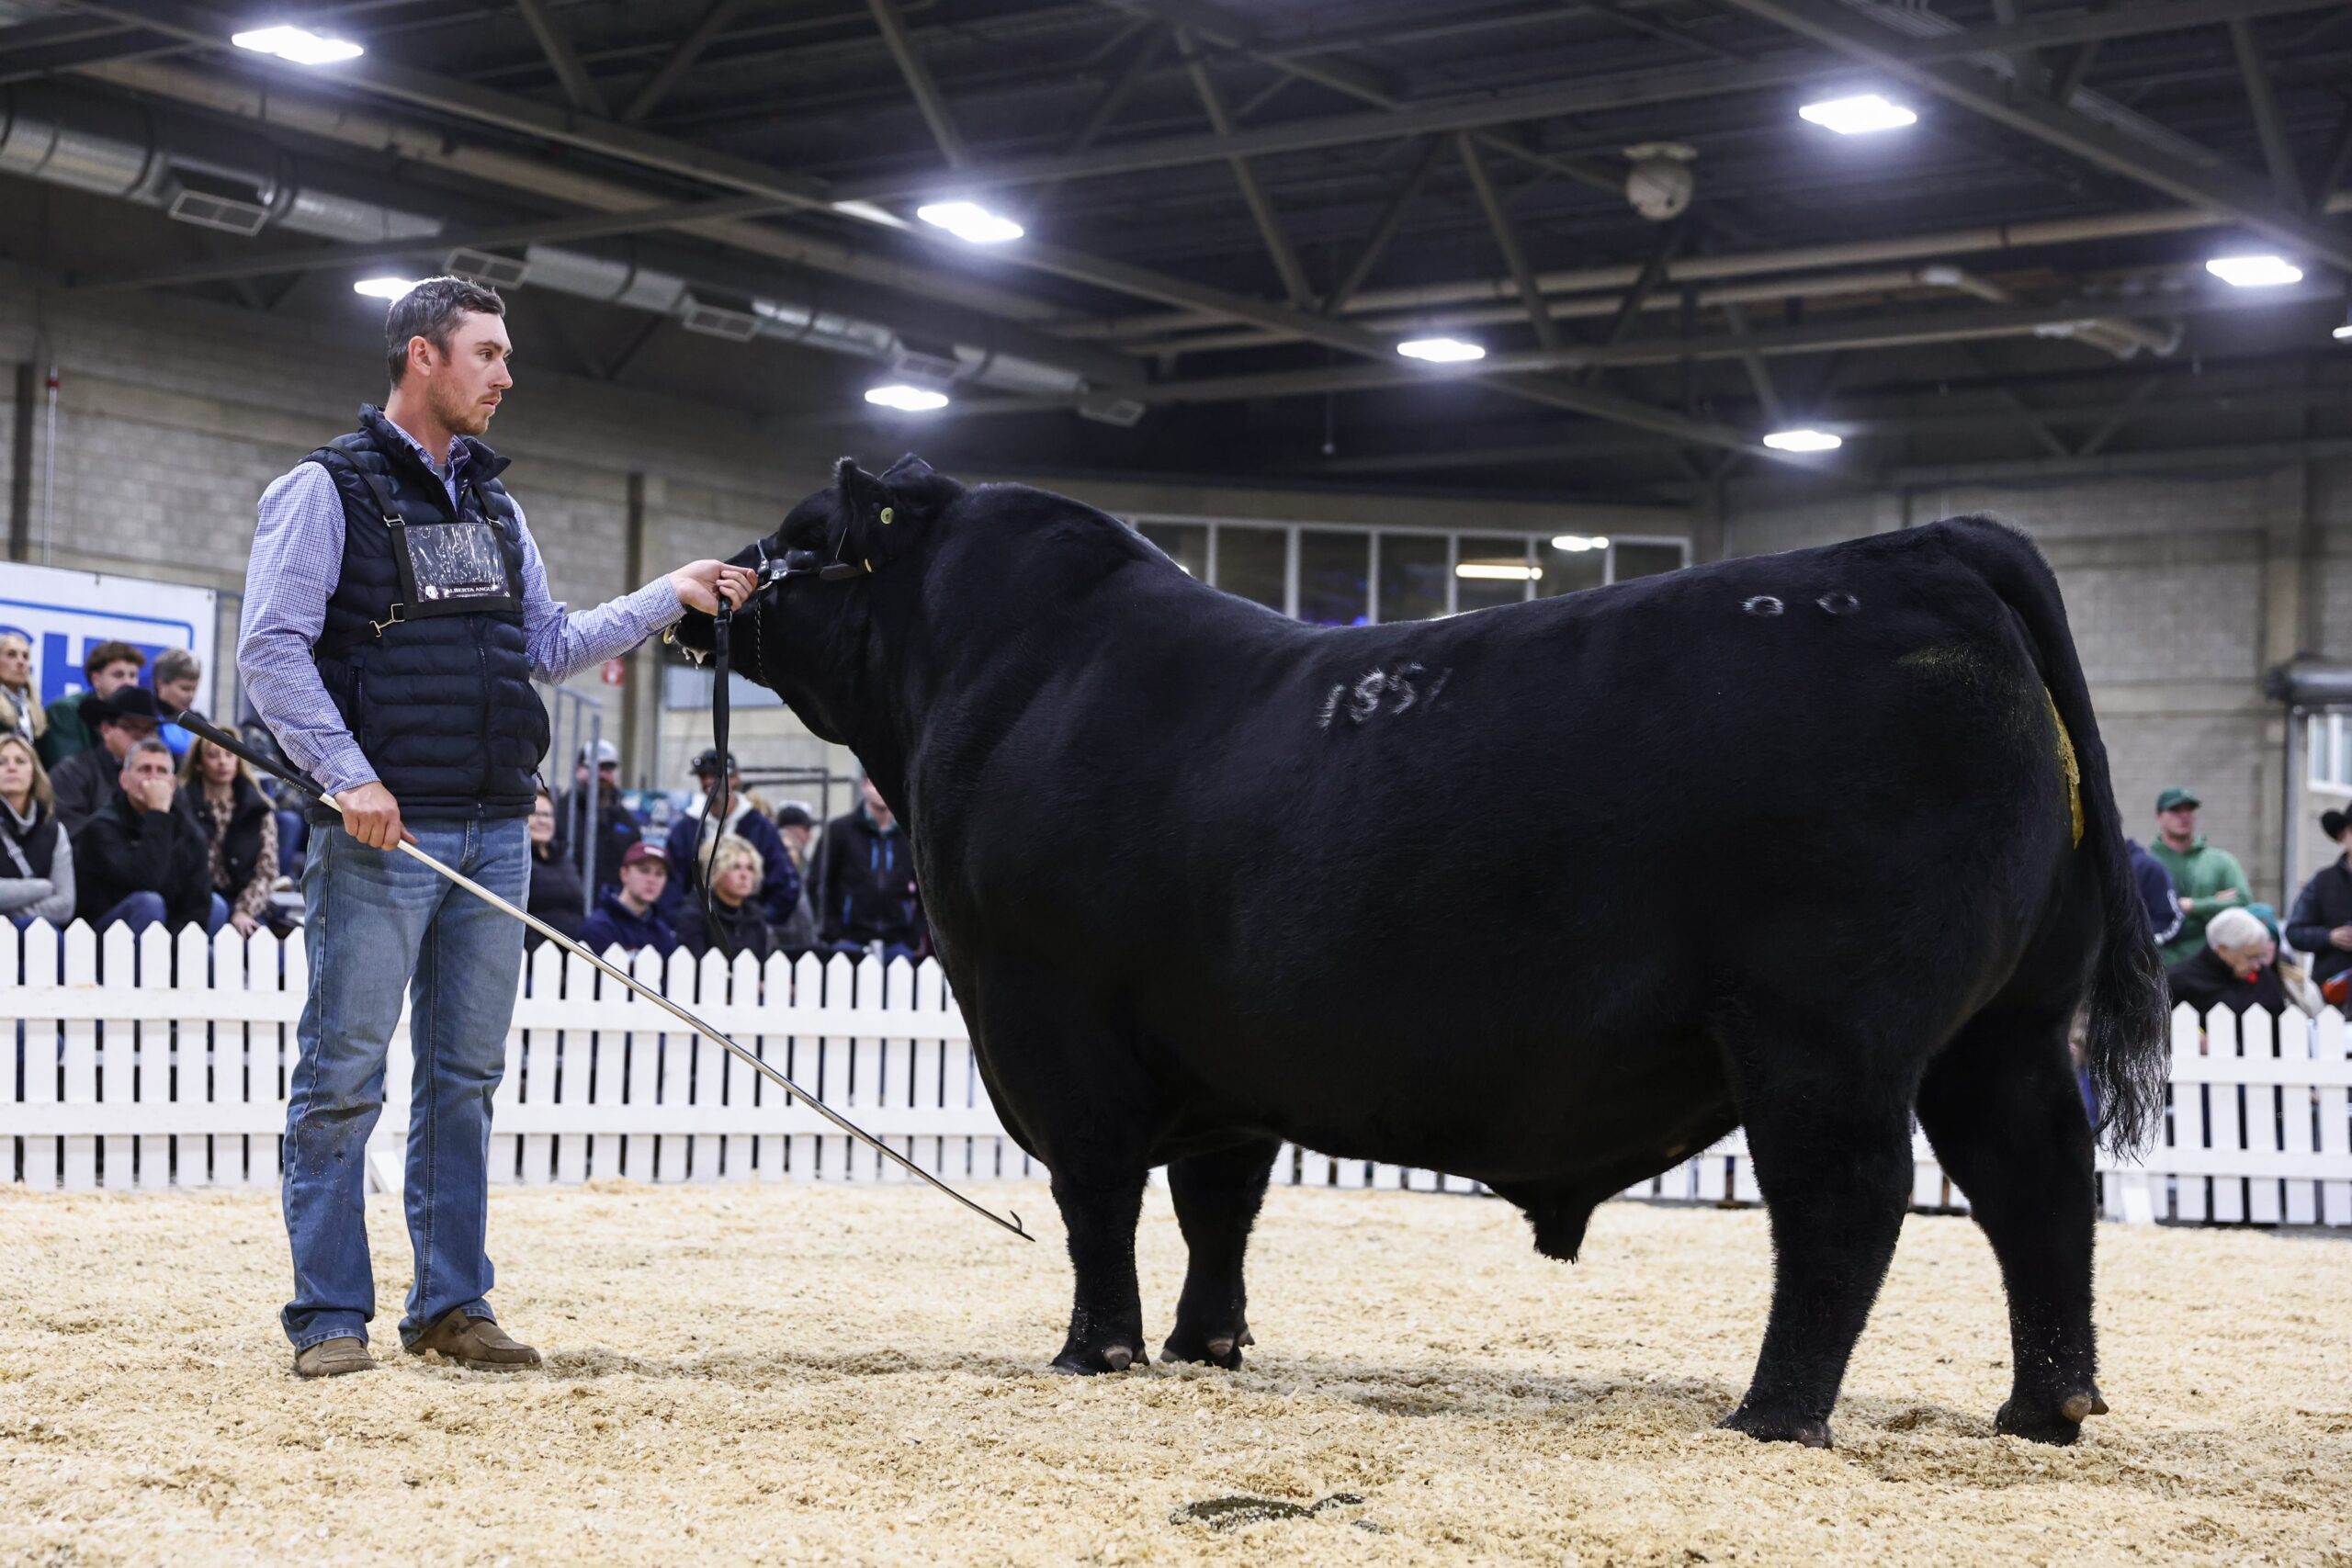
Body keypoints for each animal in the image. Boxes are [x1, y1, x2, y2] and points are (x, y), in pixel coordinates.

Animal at [673, 455, 2169, 1449]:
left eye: (802, 535)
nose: (704, 591)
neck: (1005, 674)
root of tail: (1923, 548)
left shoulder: (1051, 1020)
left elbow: (1099, 1197)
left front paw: (1097, 1351)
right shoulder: (1223, 1048)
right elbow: (1221, 1204)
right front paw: (1209, 1344)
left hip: (1825, 1032)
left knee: (1849, 1202)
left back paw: (1775, 1413)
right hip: (2004, 1027)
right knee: (2039, 1181)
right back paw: (2044, 1405)